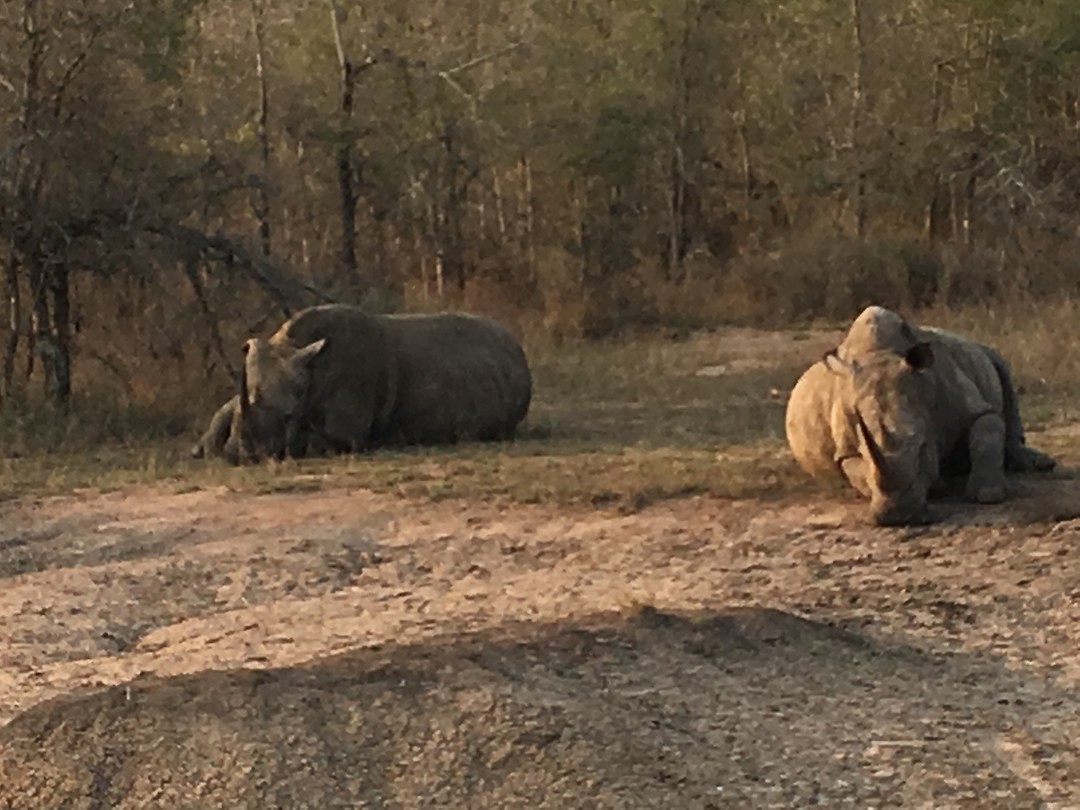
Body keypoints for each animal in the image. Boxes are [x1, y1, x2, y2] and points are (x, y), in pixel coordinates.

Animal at [193, 304, 532, 464]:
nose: (241, 456)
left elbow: (316, 441)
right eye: (239, 416)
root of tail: (517, 346)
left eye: (289, 416)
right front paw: (207, 448)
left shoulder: (346, 428)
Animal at [785, 305, 1054, 525]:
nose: (898, 516)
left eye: (922, 448)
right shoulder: (847, 449)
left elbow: (985, 431)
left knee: (1000, 366)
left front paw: (989, 495)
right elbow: (859, 471)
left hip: (978, 349)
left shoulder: (967, 404)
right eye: (864, 451)